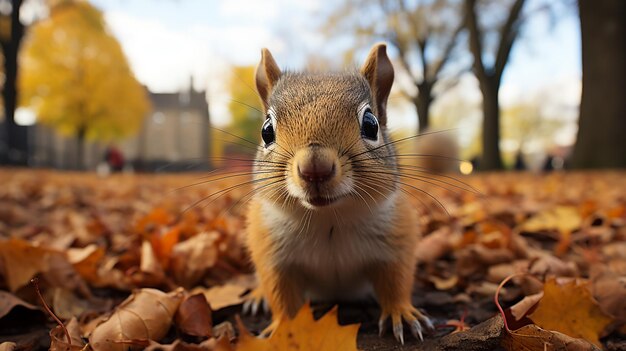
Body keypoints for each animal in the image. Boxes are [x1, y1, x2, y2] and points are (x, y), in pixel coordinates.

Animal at [243, 43, 428, 344]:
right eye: (266, 131)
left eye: (371, 124)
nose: (314, 168)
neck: (328, 221)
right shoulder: (272, 254)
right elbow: (281, 296)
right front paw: (282, 330)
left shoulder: (397, 240)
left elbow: (396, 282)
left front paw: (402, 314)